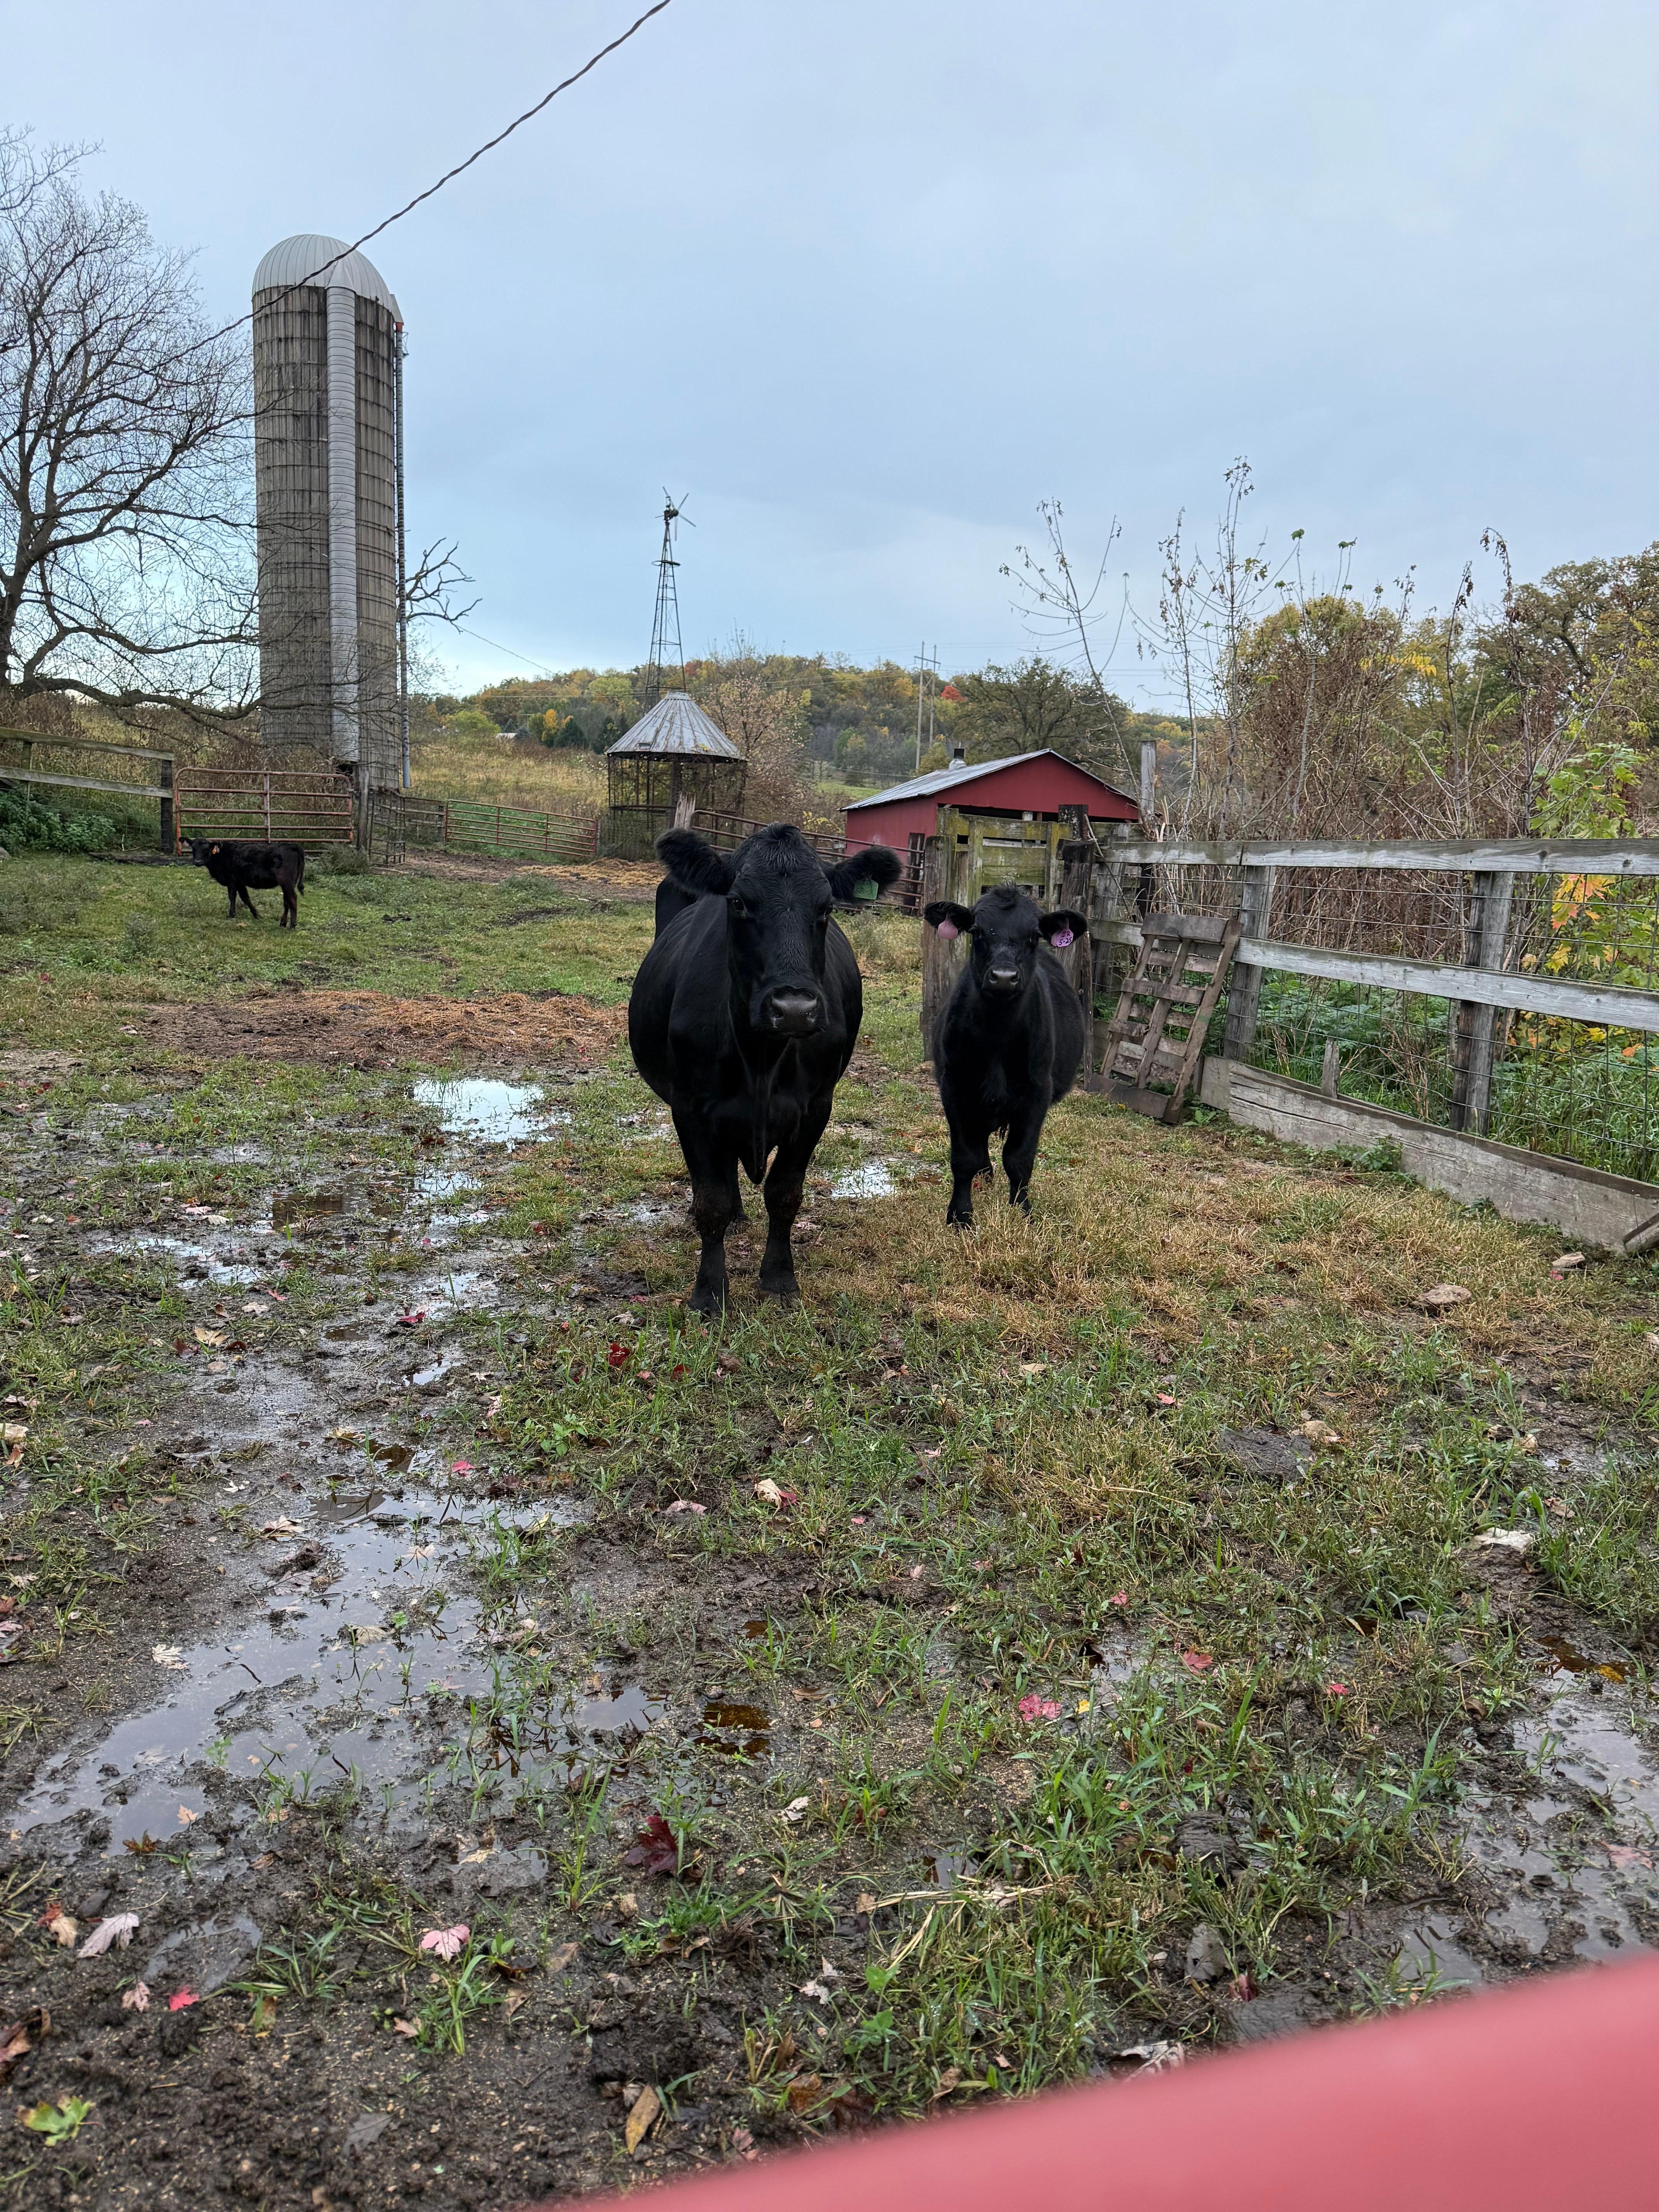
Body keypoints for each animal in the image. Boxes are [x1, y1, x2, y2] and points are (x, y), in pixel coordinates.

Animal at [187, 837, 305, 929]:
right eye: (193, 849)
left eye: (206, 850)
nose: (198, 862)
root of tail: (293, 845)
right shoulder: (240, 883)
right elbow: (246, 898)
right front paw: (257, 915)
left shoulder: (232, 881)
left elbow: (232, 897)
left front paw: (231, 915)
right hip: (288, 884)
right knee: (287, 901)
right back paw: (283, 923)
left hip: (287, 882)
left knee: (292, 900)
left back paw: (292, 925)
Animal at [630, 823, 902, 1310]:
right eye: (738, 902)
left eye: (827, 907)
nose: (793, 1009)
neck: (761, 1058)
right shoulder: (690, 1106)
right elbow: (711, 1200)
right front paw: (709, 1293)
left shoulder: (816, 1107)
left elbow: (784, 1194)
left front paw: (779, 1278)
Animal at [923, 883, 1089, 1228]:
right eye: (977, 931)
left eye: (1034, 935)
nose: (1003, 977)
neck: (997, 1035)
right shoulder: (955, 1087)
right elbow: (964, 1157)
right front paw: (960, 1216)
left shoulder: (1037, 1093)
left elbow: (1019, 1159)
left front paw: (1022, 1211)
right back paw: (984, 1176)